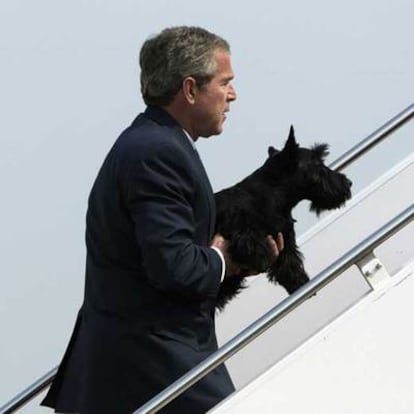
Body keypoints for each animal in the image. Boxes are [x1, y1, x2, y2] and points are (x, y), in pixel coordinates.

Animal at [213, 126, 352, 310]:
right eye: (316, 163)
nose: (348, 183)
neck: (273, 195)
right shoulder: (242, 230)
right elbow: (249, 242)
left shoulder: (285, 242)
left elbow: (290, 266)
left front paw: (302, 285)